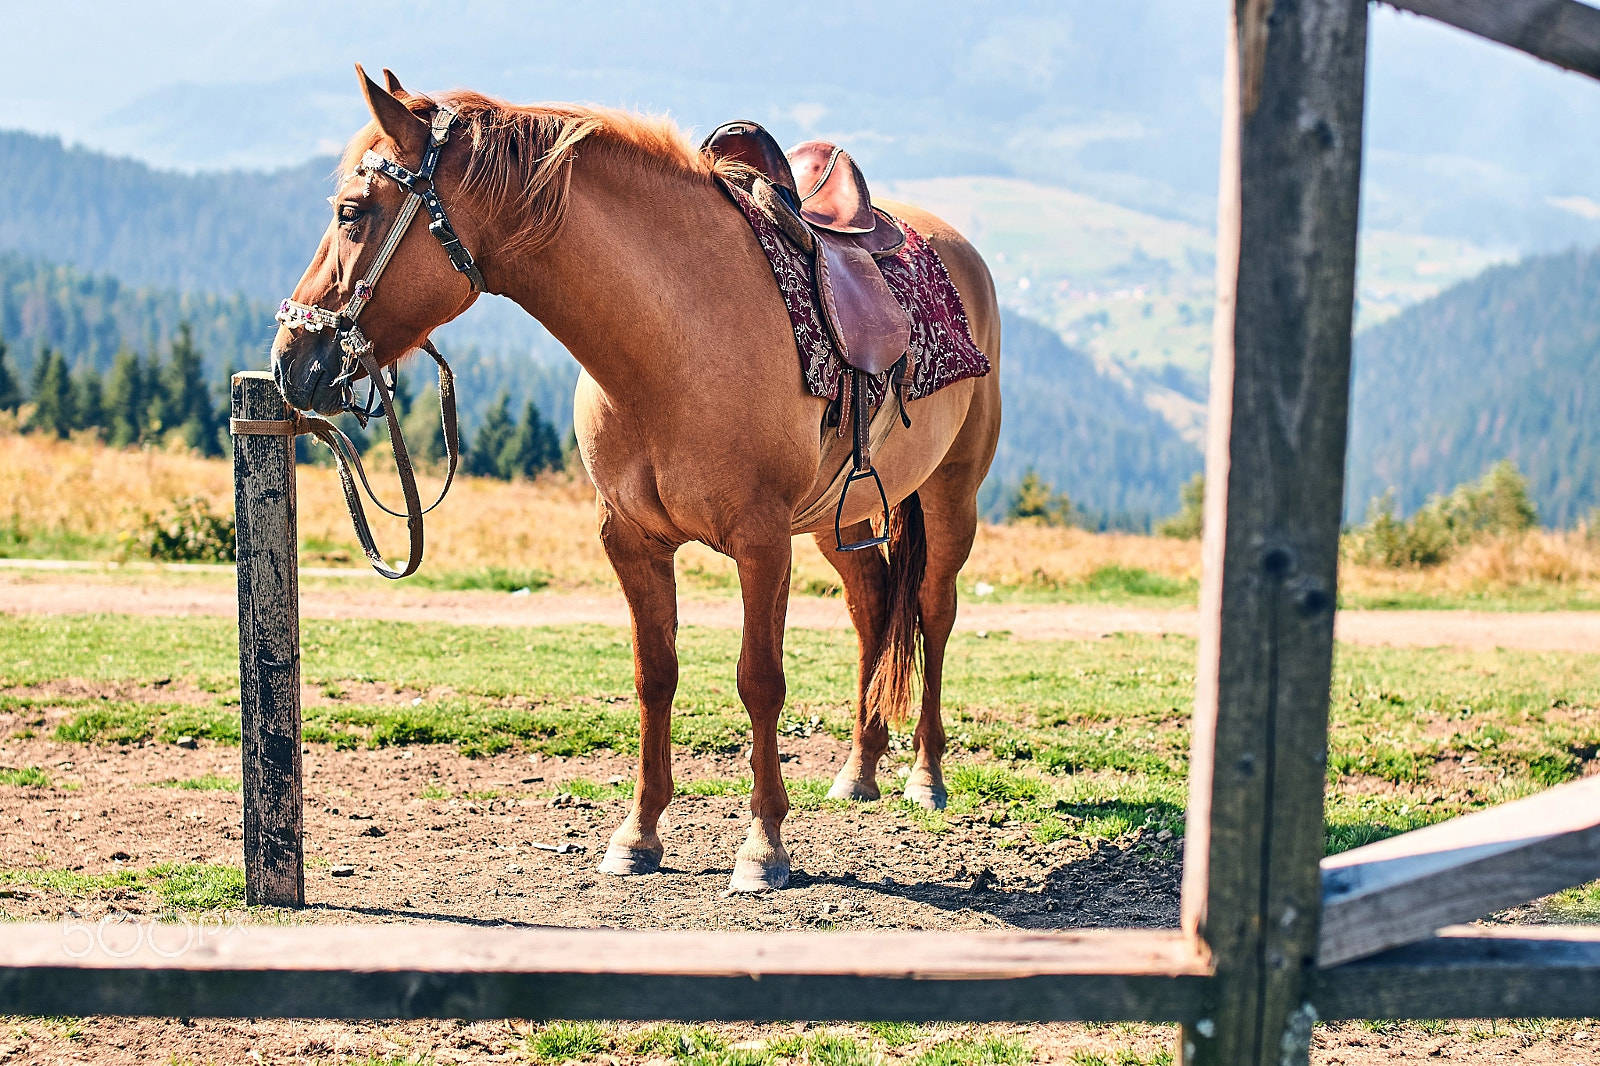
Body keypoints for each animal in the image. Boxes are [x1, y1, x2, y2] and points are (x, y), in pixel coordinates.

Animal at [275, 66, 998, 889]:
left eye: (352, 212)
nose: (289, 360)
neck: (675, 338)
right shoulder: (632, 539)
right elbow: (656, 675)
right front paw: (639, 834)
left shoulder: (762, 542)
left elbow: (760, 680)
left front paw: (763, 847)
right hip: (837, 521)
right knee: (874, 609)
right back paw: (860, 769)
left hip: (949, 499)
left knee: (933, 612)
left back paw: (926, 776)